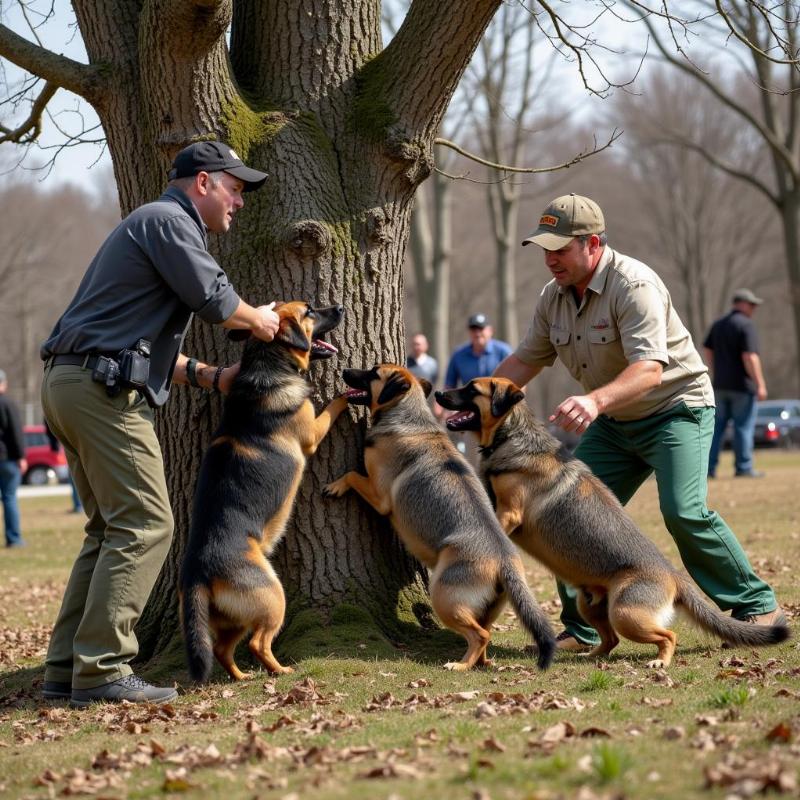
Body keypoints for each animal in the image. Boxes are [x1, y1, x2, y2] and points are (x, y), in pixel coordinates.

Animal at [181, 300, 346, 680]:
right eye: (309, 311)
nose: (340, 307)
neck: (266, 364)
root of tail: (198, 572)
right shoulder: (313, 432)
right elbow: (333, 407)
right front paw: (350, 394)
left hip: (234, 620)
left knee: (223, 650)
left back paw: (241, 677)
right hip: (273, 596)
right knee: (258, 643)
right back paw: (281, 671)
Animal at [322, 366, 552, 672]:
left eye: (373, 373)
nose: (346, 370)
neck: (408, 415)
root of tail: (503, 559)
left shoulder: (379, 495)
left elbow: (350, 474)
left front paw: (335, 486)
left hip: (444, 598)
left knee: (479, 635)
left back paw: (460, 666)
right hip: (487, 608)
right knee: (486, 633)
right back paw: (480, 663)